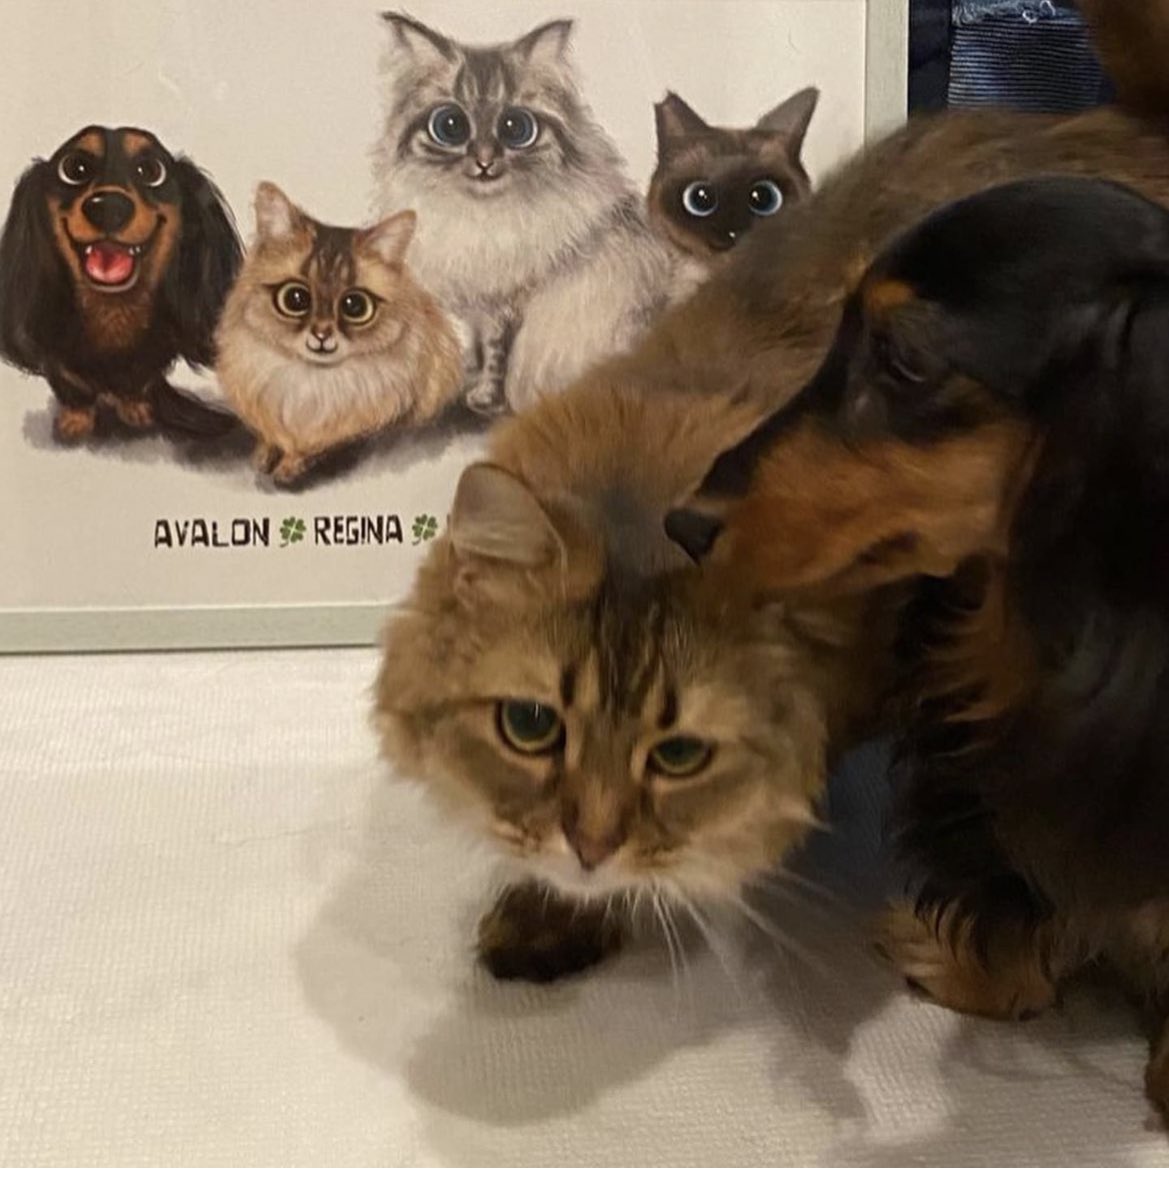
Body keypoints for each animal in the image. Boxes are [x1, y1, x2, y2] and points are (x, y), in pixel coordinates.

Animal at [0, 125, 242, 441]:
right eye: (74, 168)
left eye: (151, 170)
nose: (108, 207)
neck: (112, 312)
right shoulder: (58, 363)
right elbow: (72, 387)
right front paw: (75, 420)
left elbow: (139, 384)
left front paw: (135, 409)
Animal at [215, 183, 462, 486]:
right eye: (295, 299)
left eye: (354, 306)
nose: (322, 334)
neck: (311, 383)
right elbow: (270, 440)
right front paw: (264, 457)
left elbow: (314, 448)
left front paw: (290, 466)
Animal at [372, 11, 680, 417]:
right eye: (451, 127)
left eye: (515, 128)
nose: (485, 162)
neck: (479, 217)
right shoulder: (476, 301)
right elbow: (476, 348)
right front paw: (467, 378)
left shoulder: (509, 303)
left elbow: (497, 356)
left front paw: (486, 398)